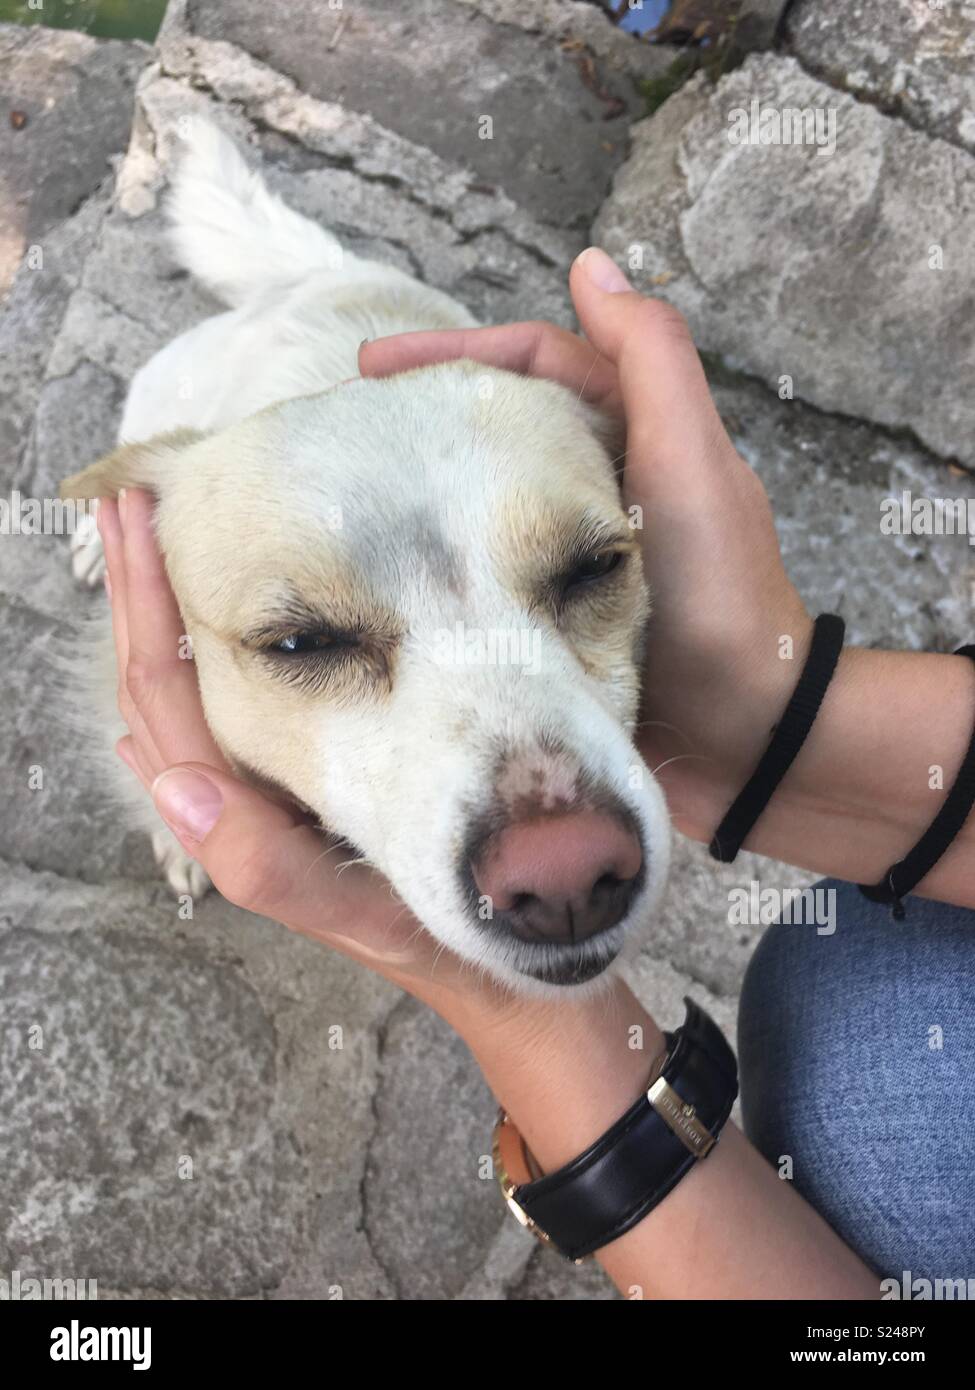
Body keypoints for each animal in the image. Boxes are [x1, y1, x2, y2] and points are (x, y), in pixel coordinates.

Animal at [60, 119, 670, 989]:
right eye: (298, 643)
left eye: (595, 567)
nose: (568, 875)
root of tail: (324, 272)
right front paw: (184, 843)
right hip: (157, 392)